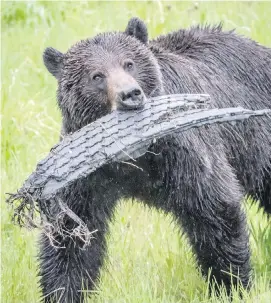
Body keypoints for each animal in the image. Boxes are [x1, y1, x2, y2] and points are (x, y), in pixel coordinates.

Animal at [41, 17, 271, 303]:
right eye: (96, 76)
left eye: (129, 63)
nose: (130, 94)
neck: (135, 156)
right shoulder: (85, 172)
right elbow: (72, 233)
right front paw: (62, 292)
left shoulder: (182, 151)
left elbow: (214, 209)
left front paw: (231, 285)